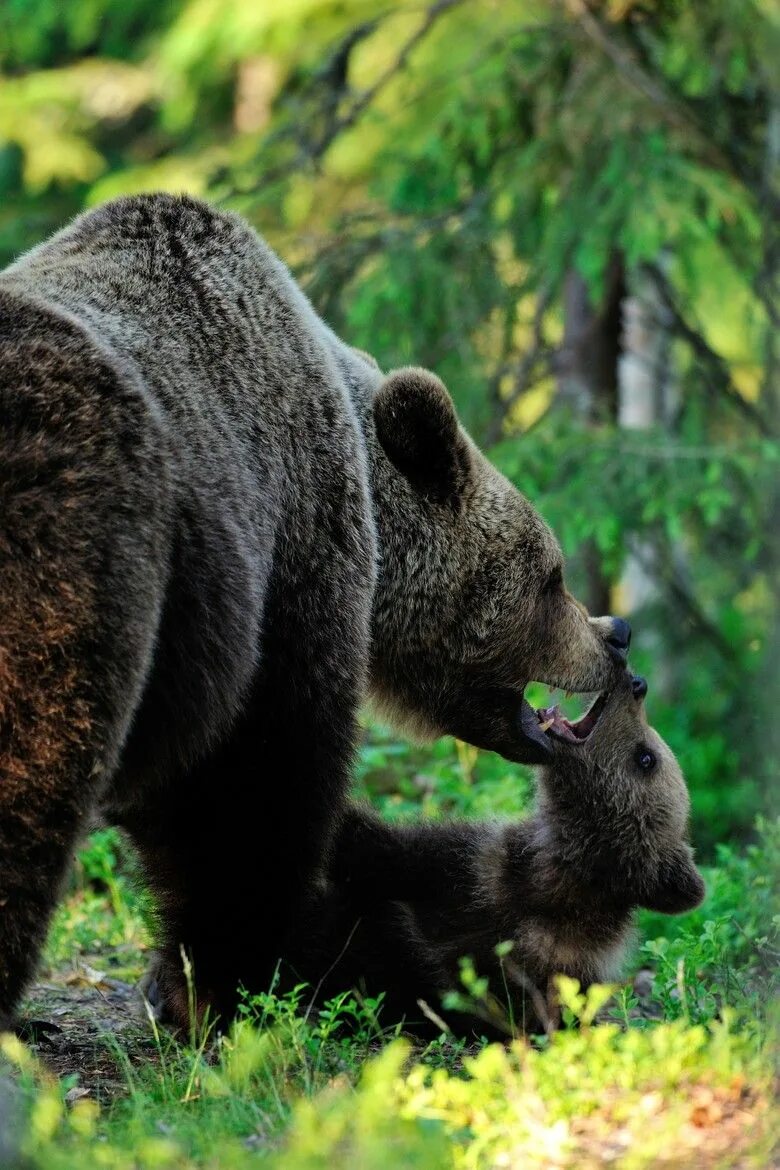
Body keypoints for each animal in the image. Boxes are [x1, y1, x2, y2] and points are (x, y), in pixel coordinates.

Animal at [0, 194, 626, 1034]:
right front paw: (228, 981)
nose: (616, 635)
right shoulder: (283, 559)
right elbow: (258, 778)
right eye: (552, 576)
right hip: (66, 553)